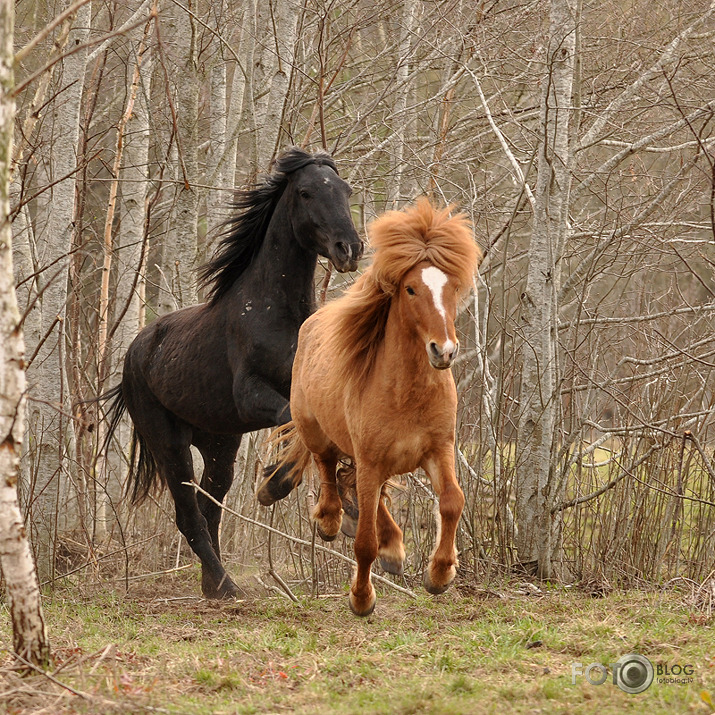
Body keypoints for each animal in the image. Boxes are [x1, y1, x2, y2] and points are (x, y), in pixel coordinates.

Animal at [105, 148, 364, 600]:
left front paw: (348, 510)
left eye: (345, 189)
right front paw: (273, 484)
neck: (277, 314)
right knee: (189, 516)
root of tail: (135, 353)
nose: (349, 248)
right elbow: (291, 422)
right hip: (170, 444)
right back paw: (225, 585)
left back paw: (213, 584)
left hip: (219, 445)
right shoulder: (251, 395)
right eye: (306, 192)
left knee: (209, 511)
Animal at [274, 199, 482, 612]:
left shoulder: (438, 450)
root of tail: (312, 323)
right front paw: (361, 598)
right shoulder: (371, 459)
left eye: (452, 287)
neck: (407, 395)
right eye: (411, 289)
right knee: (328, 469)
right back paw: (330, 520)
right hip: (318, 431)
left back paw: (393, 550)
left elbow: (452, 501)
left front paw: (440, 575)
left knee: (362, 490)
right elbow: (363, 543)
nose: (444, 351)